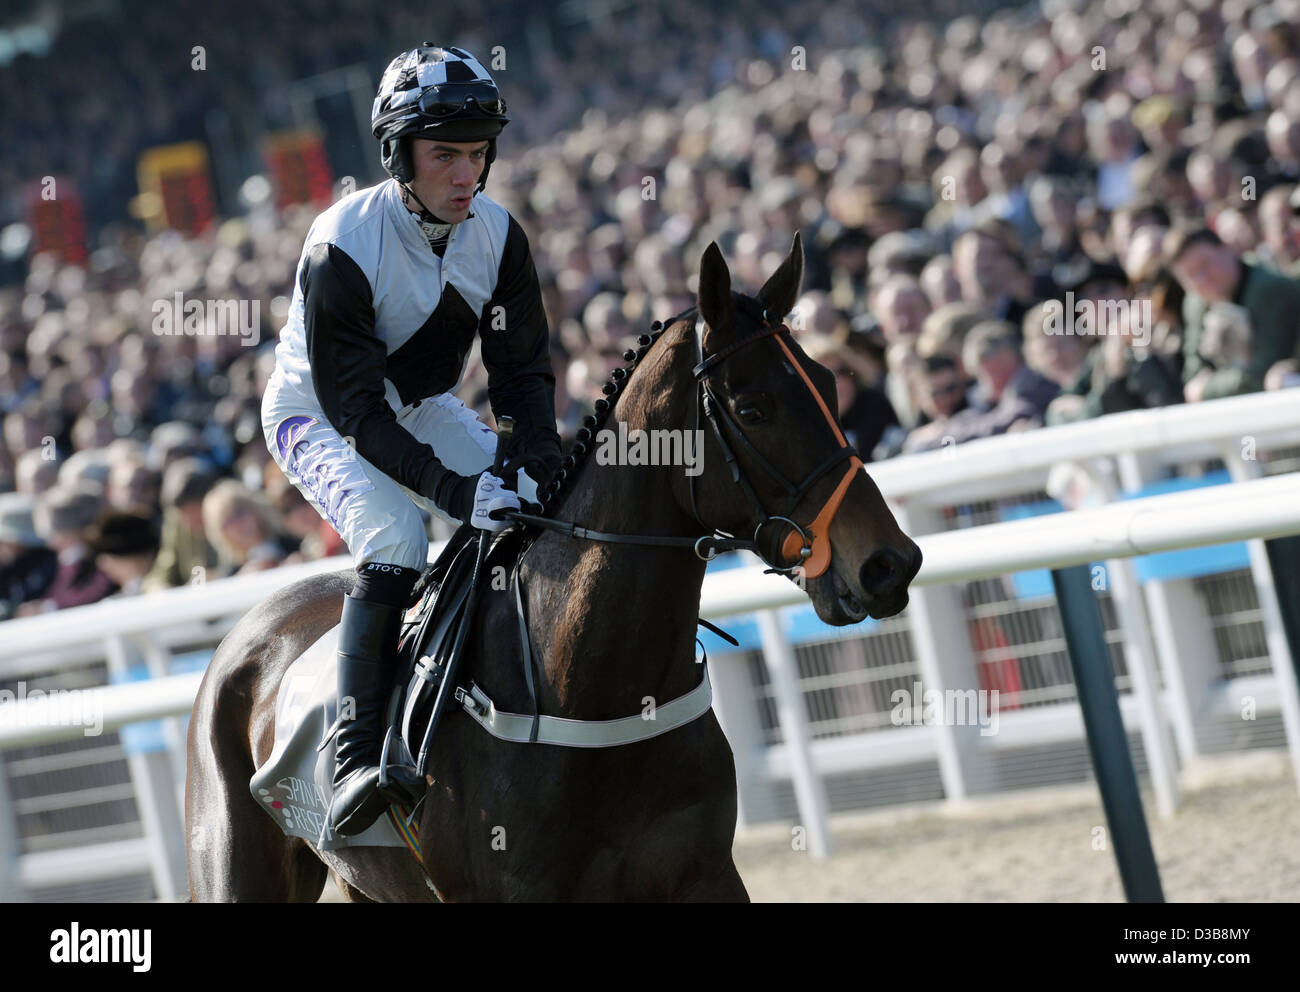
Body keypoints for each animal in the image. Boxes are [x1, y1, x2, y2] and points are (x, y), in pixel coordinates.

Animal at [185, 236, 925, 904]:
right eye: (752, 408)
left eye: (829, 383)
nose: (890, 563)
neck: (590, 688)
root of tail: (242, 636)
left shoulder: (705, 875)